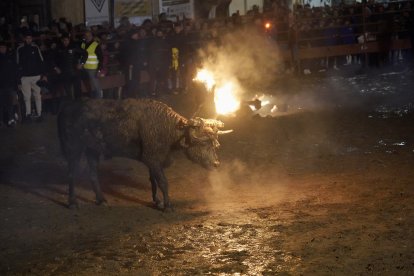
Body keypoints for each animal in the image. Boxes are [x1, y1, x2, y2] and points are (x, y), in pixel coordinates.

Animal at [57, 98, 230, 211]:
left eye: (216, 144)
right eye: (204, 143)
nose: (216, 163)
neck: (167, 128)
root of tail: (66, 107)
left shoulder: (153, 161)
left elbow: (153, 181)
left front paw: (157, 201)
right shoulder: (153, 159)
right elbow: (163, 182)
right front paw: (167, 205)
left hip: (92, 150)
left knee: (92, 173)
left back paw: (101, 200)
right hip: (73, 148)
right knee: (71, 174)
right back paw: (72, 202)